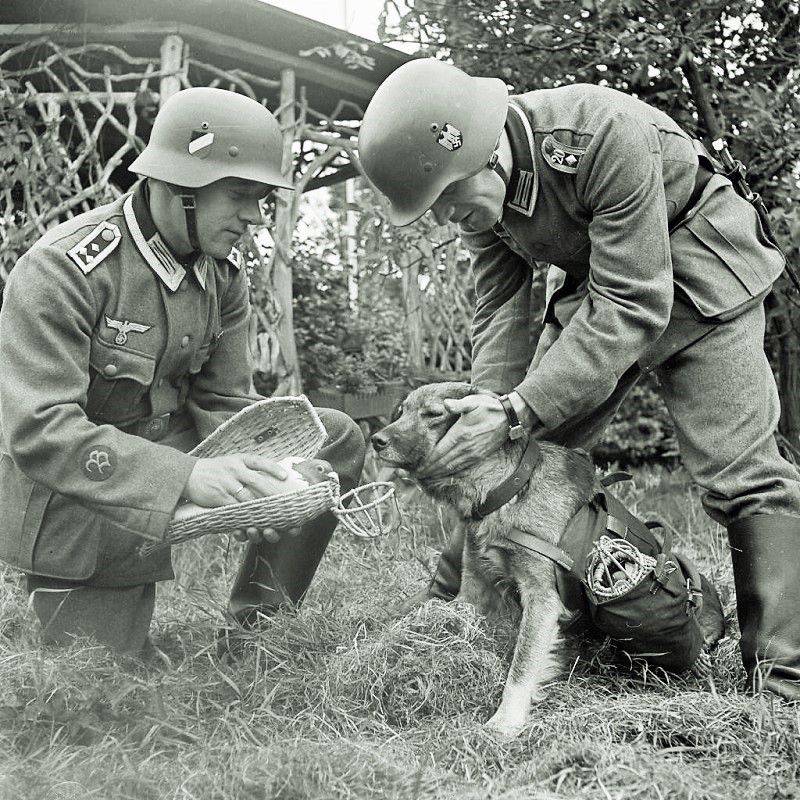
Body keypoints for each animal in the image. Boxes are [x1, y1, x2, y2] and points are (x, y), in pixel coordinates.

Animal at [372, 382, 720, 736]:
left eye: (432, 414)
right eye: (401, 411)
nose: (376, 440)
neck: (510, 488)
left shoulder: (542, 599)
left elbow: (522, 665)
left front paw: (505, 721)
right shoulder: (473, 587)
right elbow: (456, 612)